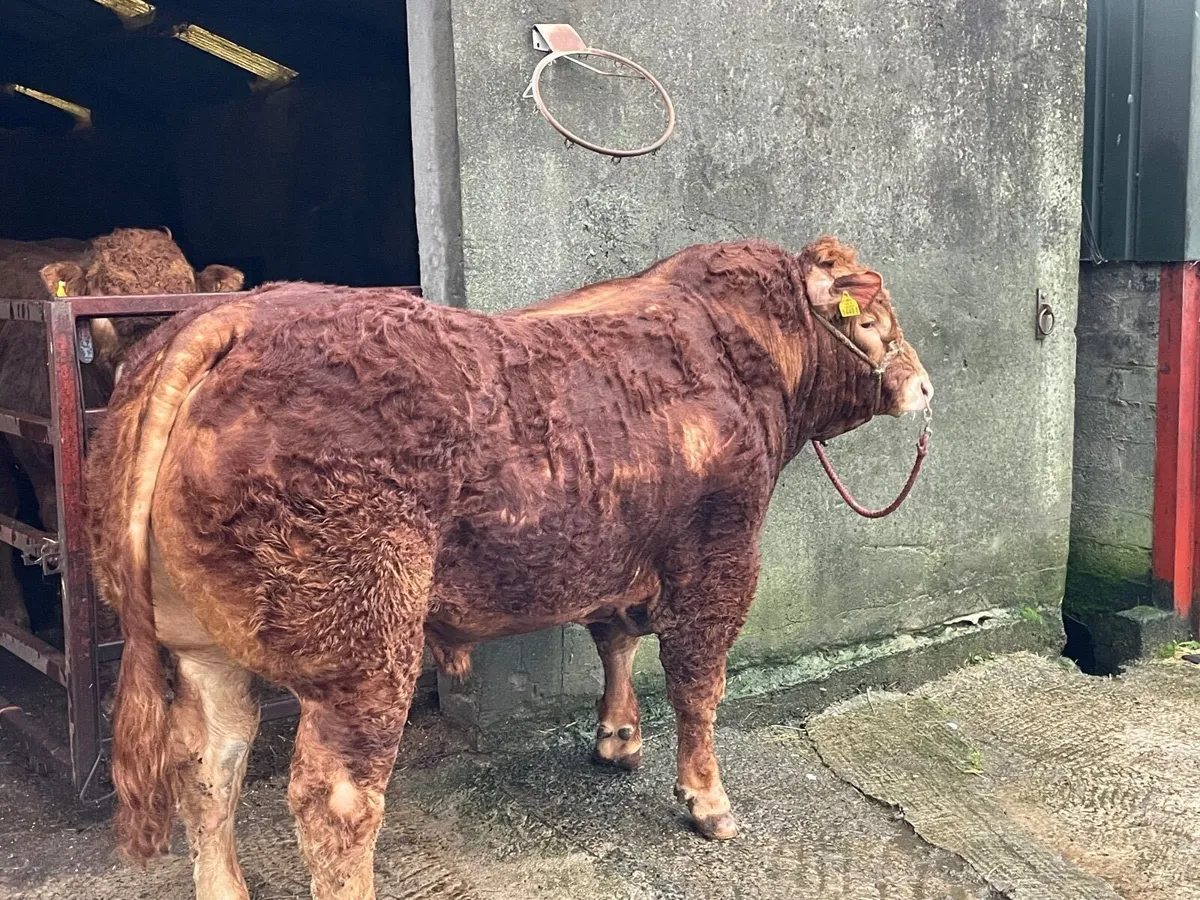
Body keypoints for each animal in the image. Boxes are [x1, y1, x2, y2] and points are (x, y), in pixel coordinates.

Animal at [86, 236, 932, 900]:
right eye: (874, 319)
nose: (924, 385)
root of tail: (231, 316)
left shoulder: (610, 550)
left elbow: (615, 638)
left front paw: (617, 737)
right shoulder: (720, 554)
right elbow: (698, 684)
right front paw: (707, 800)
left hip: (200, 648)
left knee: (209, 763)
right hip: (363, 646)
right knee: (336, 800)